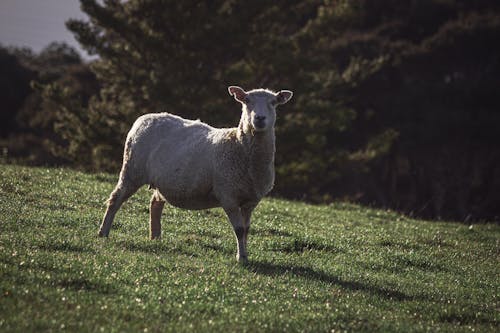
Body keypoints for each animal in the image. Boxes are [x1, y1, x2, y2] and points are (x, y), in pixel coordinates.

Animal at [97, 86, 292, 262]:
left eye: (273, 102)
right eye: (247, 101)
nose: (259, 118)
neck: (240, 148)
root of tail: (144, 118)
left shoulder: (250, 201)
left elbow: (247, 230)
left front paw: (244, 254)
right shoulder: (228, 195)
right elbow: (239, 230)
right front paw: (241, 258)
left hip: (161, 180)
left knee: (155, 204)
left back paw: (155, 237)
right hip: (132, 169)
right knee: (115, 199)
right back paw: (103, 233)